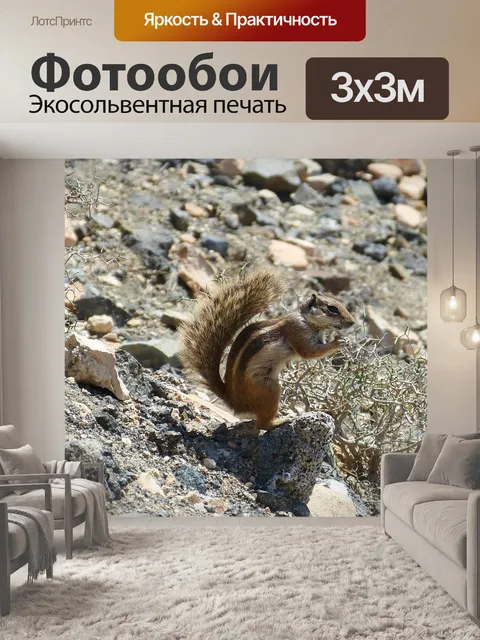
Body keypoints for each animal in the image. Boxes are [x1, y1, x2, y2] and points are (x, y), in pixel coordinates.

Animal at [179, 268, 355, 430]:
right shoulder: (297, 332)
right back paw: (281, 420)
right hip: (268, 389)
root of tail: (233, 401)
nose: (352, 322)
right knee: (262, 424)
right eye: (332, 308)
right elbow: (308, 352)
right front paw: (338, 342)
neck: (310, 323)